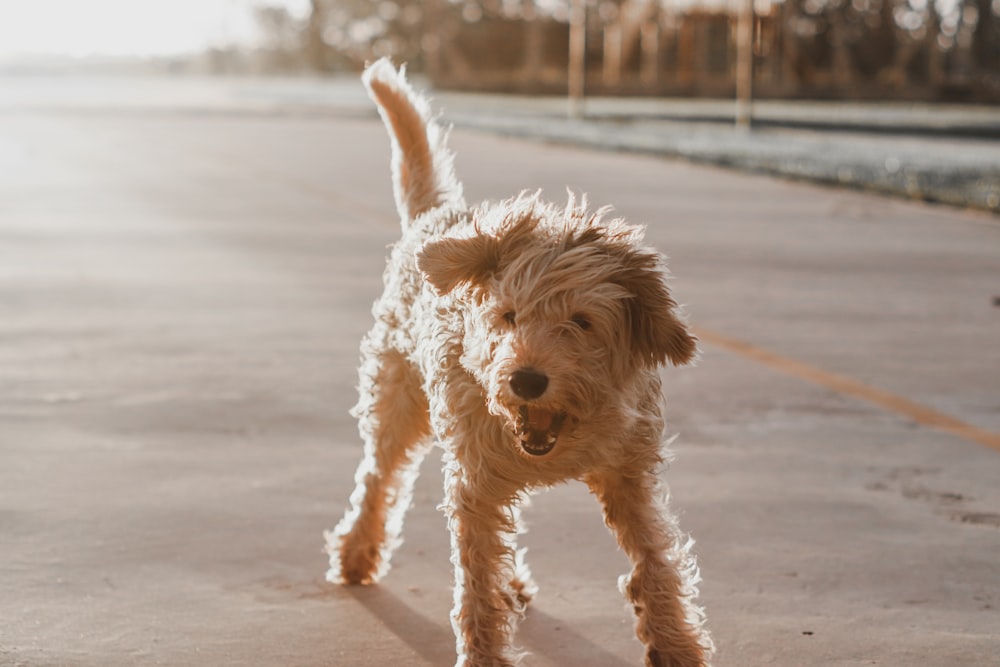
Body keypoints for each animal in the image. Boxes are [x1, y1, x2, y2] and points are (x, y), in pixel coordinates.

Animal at [326, 58, 712, 667]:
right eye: (507, 315)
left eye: (581, 321)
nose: (526, 379)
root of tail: (441, 216)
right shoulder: (475, 484)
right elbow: (476, 581)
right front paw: (485, 650)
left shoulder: (630, 473)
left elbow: (655, 557)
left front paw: (675, 642)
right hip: (397, 401)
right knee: (377, 476)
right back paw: (357, 551)